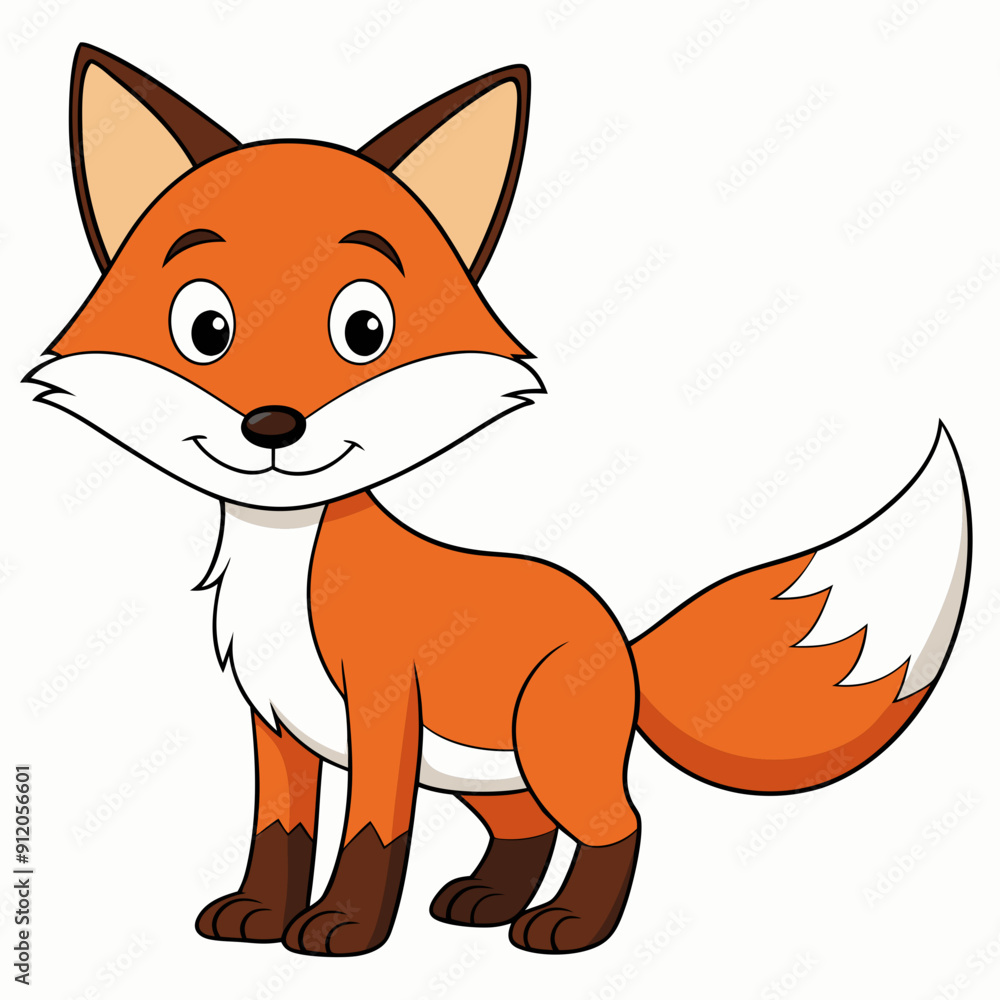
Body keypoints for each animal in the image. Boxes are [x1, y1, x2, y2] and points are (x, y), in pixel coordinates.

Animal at [26, 44, 971, 956]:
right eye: (206, 329)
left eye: (364, 330)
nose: (272, 425)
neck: (286, 569)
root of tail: (620, 638)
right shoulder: (277, 727)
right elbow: (280, 832)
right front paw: (258, 914)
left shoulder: (383, 713)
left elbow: (372, 834)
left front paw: (343, 931)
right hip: (490, 772)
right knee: (527, 830)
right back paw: (485, 903)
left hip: (550, 751)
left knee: (618, 824)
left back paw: (569, 928)